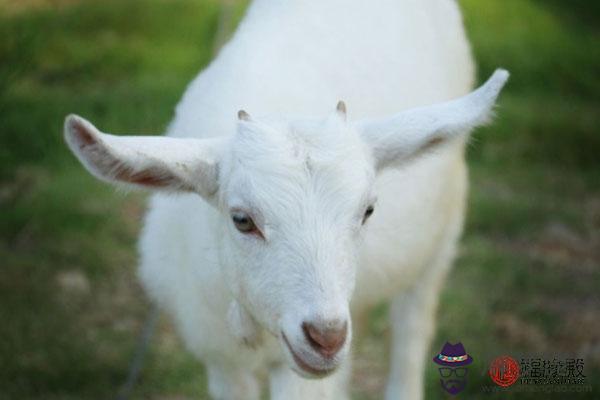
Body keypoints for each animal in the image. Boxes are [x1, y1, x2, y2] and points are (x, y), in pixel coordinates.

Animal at [64, 1, 506, 398]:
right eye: (242, 219)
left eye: (368, 211)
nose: (326, 337)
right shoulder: (220, 358)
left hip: (441, 238)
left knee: (412, 331)